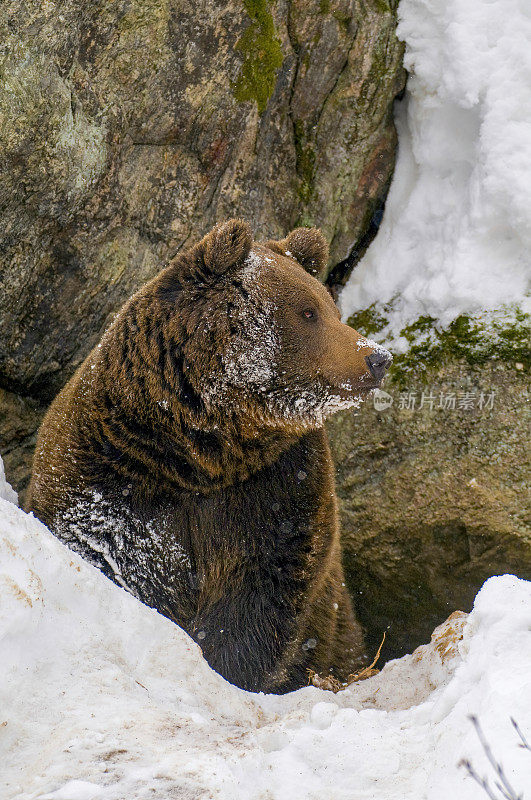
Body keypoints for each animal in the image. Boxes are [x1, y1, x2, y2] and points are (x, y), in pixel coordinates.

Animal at [29, 220, 392, 692]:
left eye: (333, 309)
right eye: (308, 312)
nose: (378, 357)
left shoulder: (277, 488)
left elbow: (262, 591)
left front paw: (228, 669)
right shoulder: (110, 475)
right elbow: (111, 551)